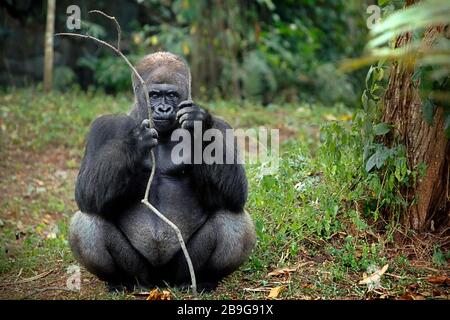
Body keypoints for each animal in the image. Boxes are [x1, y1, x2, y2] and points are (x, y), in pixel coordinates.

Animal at [68, 50, 255, 290]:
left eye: (172, 95)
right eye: (155, 95)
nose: (164, 109)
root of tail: (160, 282)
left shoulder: (223, 127)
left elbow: (235, 194)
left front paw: (199, 124)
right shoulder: (102, 127)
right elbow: (86, 192)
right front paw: (136, 142)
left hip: (181, 270)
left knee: (231, 217)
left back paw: (204, 279)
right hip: (142, 273)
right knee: (88, 220)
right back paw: (119, 280)